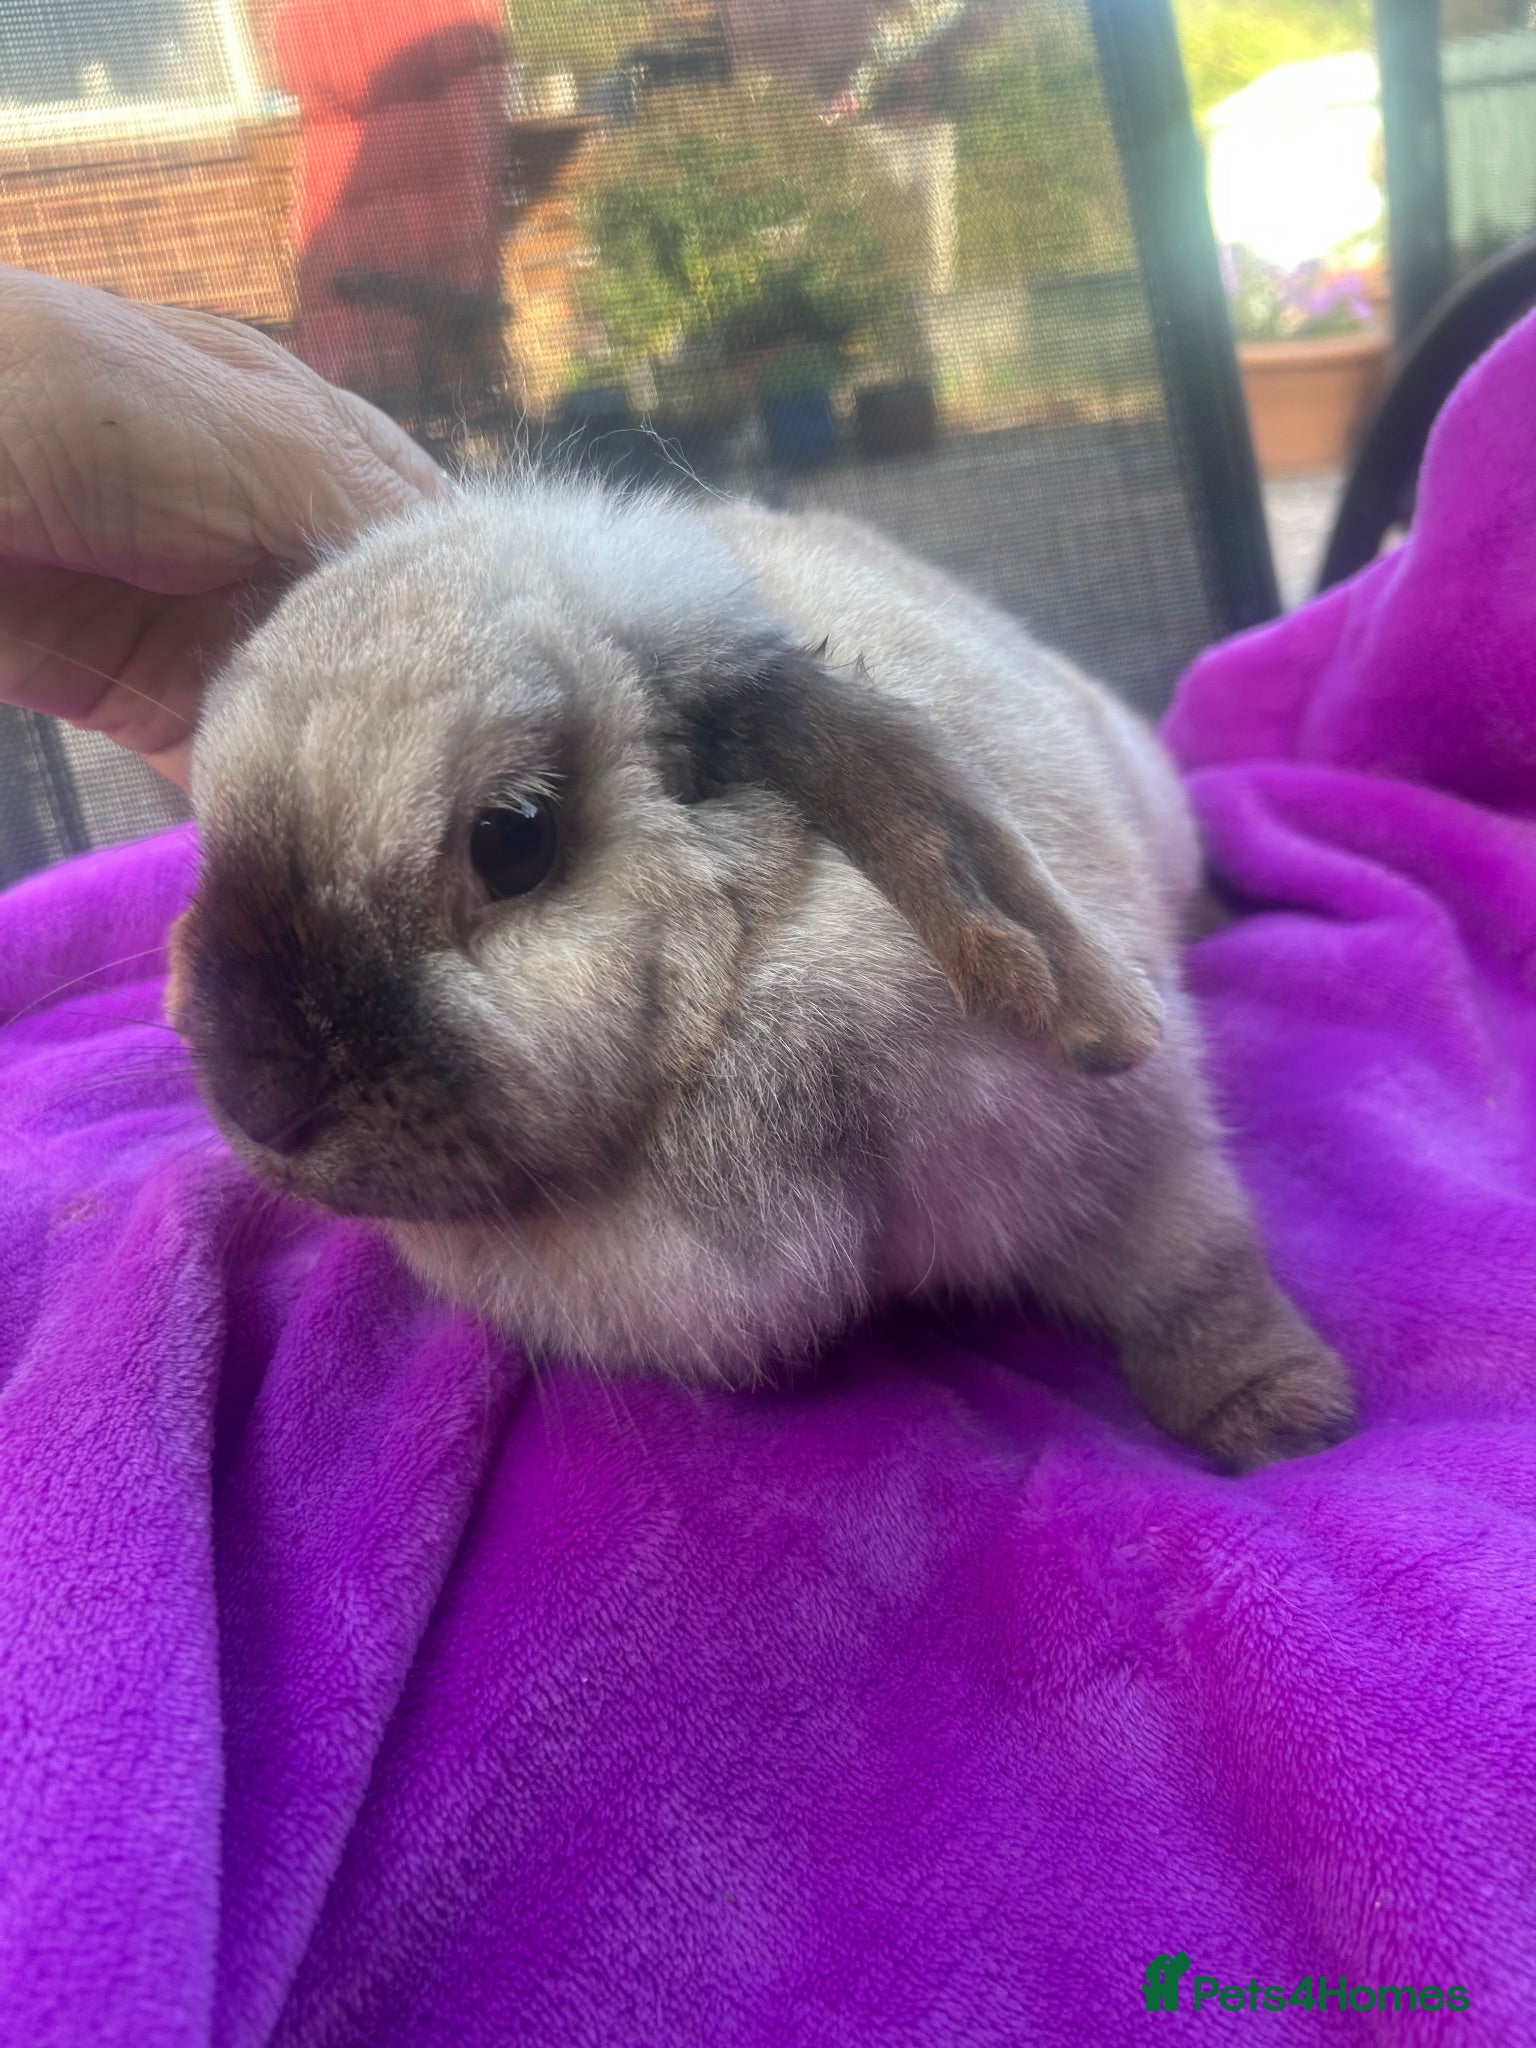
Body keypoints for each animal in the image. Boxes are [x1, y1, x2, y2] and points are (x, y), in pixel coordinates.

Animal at [167, 475, 1357, 1473]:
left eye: (513, 838)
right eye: (211, 841)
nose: (262, 1103)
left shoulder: (1136, 1155)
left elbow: (1193, 1269)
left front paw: (1283, 1418)